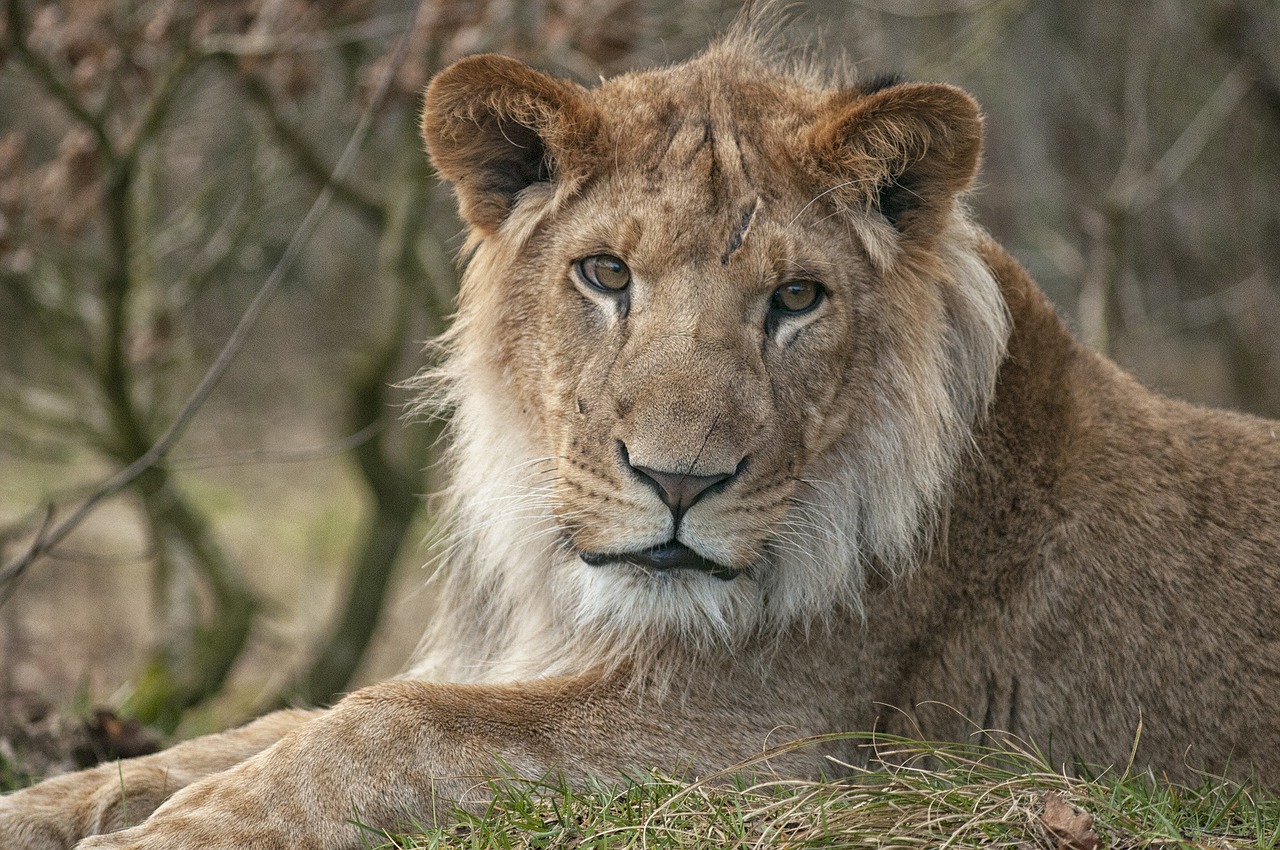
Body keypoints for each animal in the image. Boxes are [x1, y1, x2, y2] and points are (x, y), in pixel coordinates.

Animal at [2, 19, 1280, 850]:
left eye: (797, 298)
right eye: (605, 273)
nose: (677, 482)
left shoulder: (756, 742)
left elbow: (382, 725)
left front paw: (161, 839)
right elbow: (248, 731)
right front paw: (41, 808)